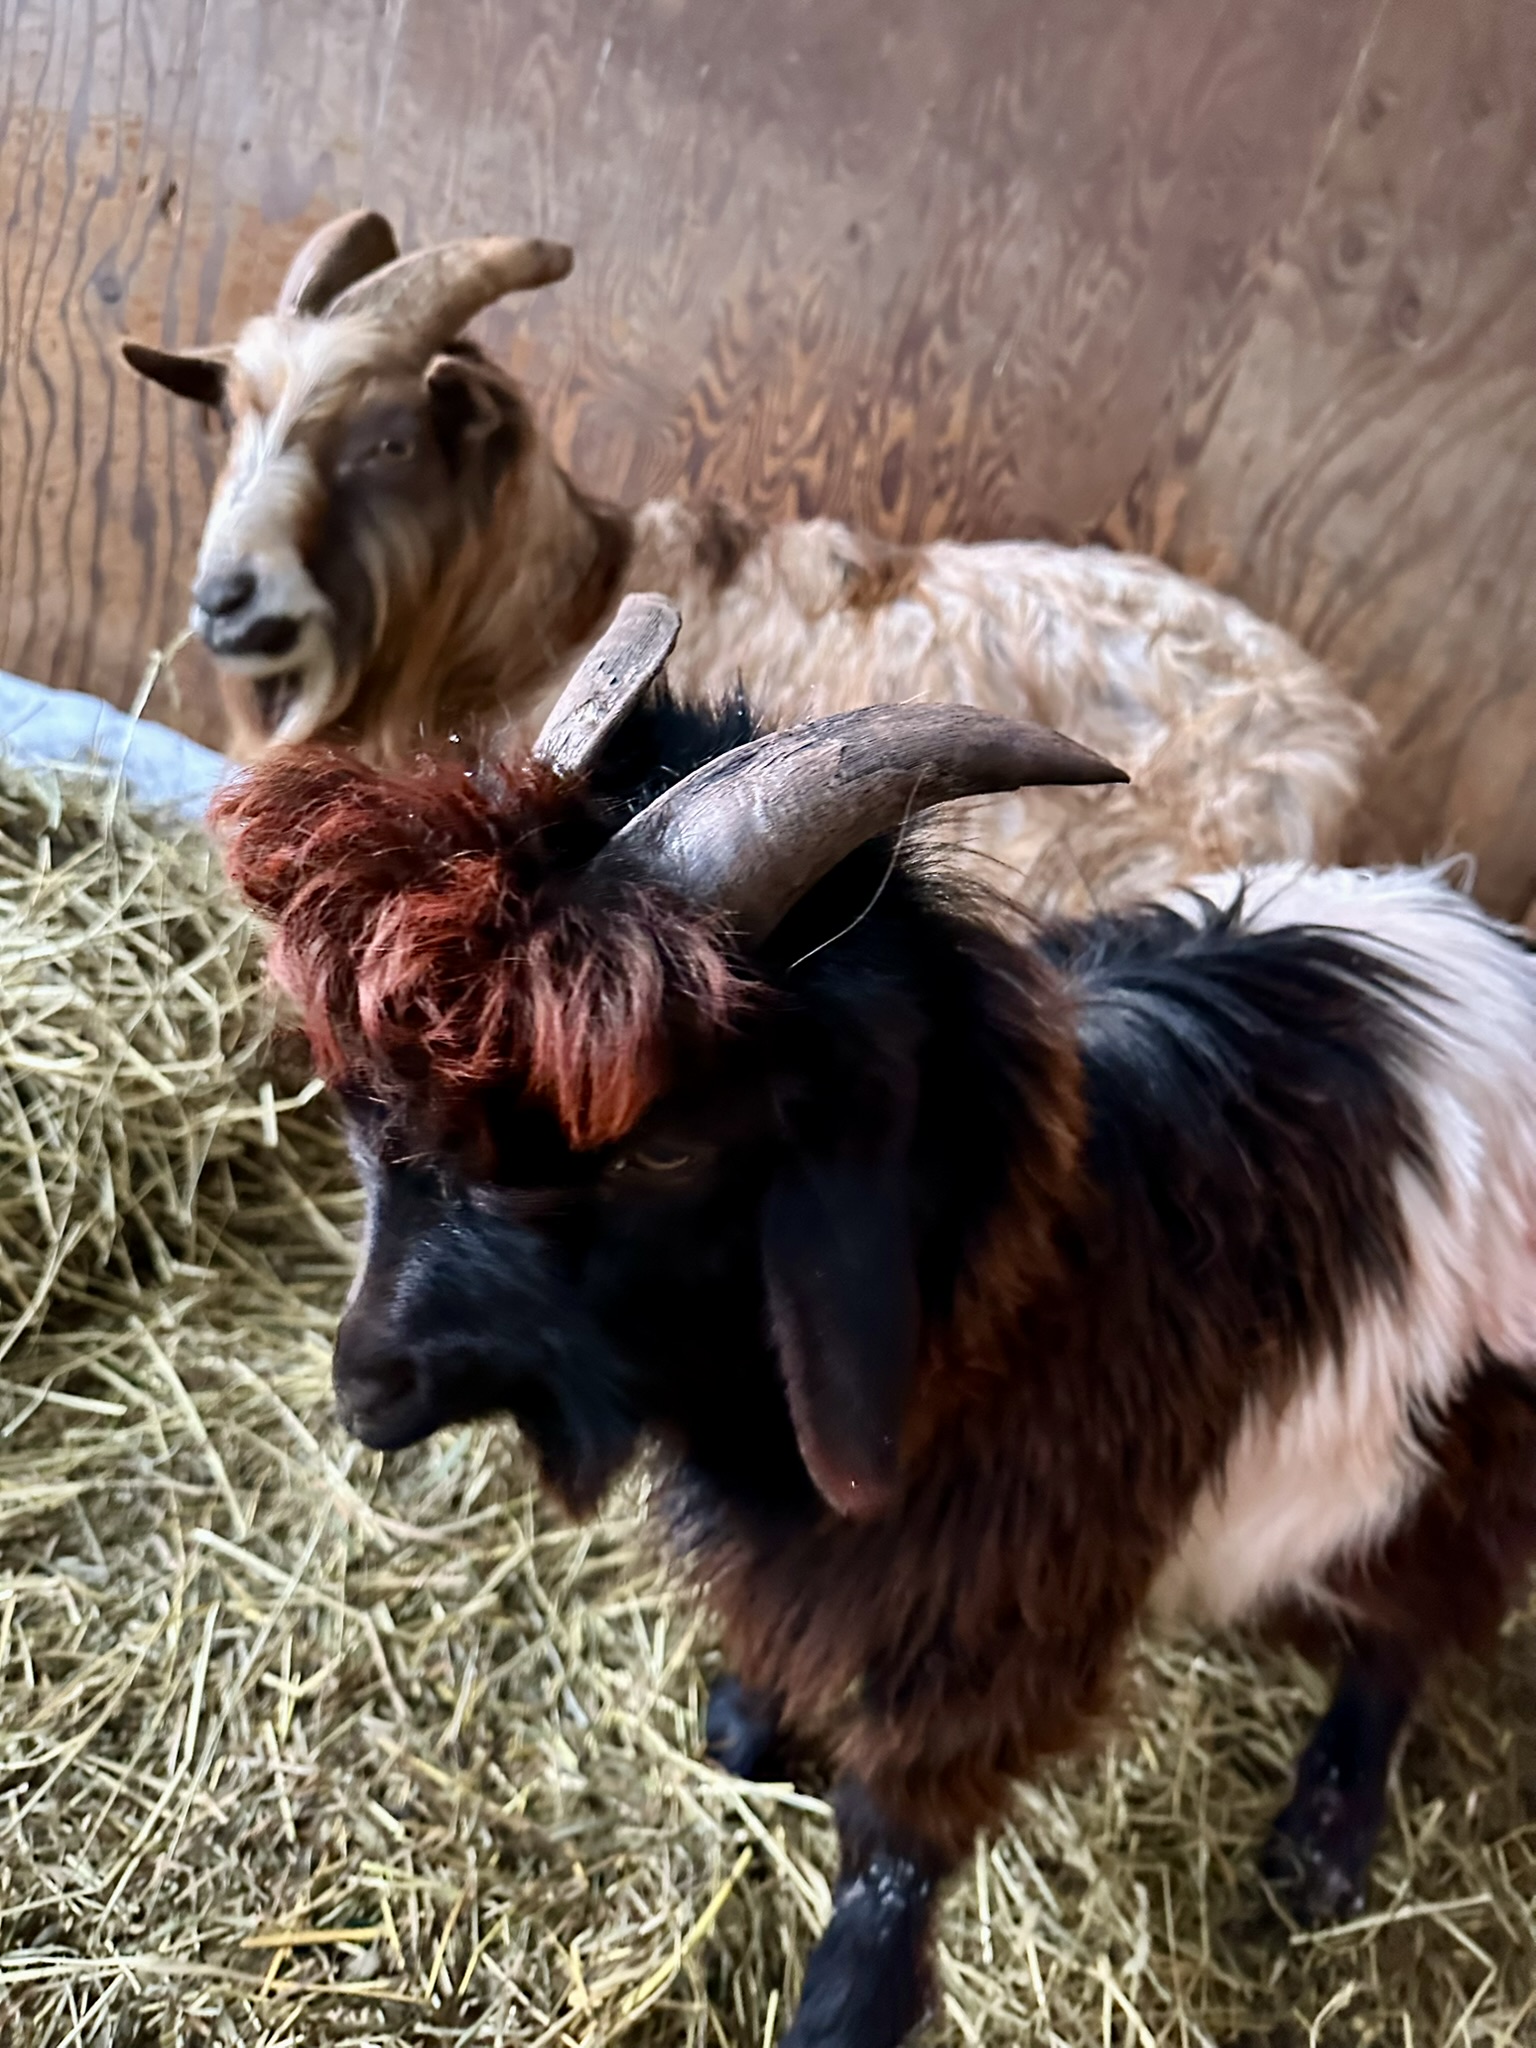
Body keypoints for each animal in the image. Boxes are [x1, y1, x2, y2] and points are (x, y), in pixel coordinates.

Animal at [211, 599, 1536, 2048]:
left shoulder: (987, 1611)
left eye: (662, 1150)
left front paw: (849, 2003)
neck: (1001, 1281)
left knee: (1410, 1622)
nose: (367, 1383)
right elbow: (771, 1662)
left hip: (1447, 1447)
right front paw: (743, 1730)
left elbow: (897, 1828)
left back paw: (1325, 1837)